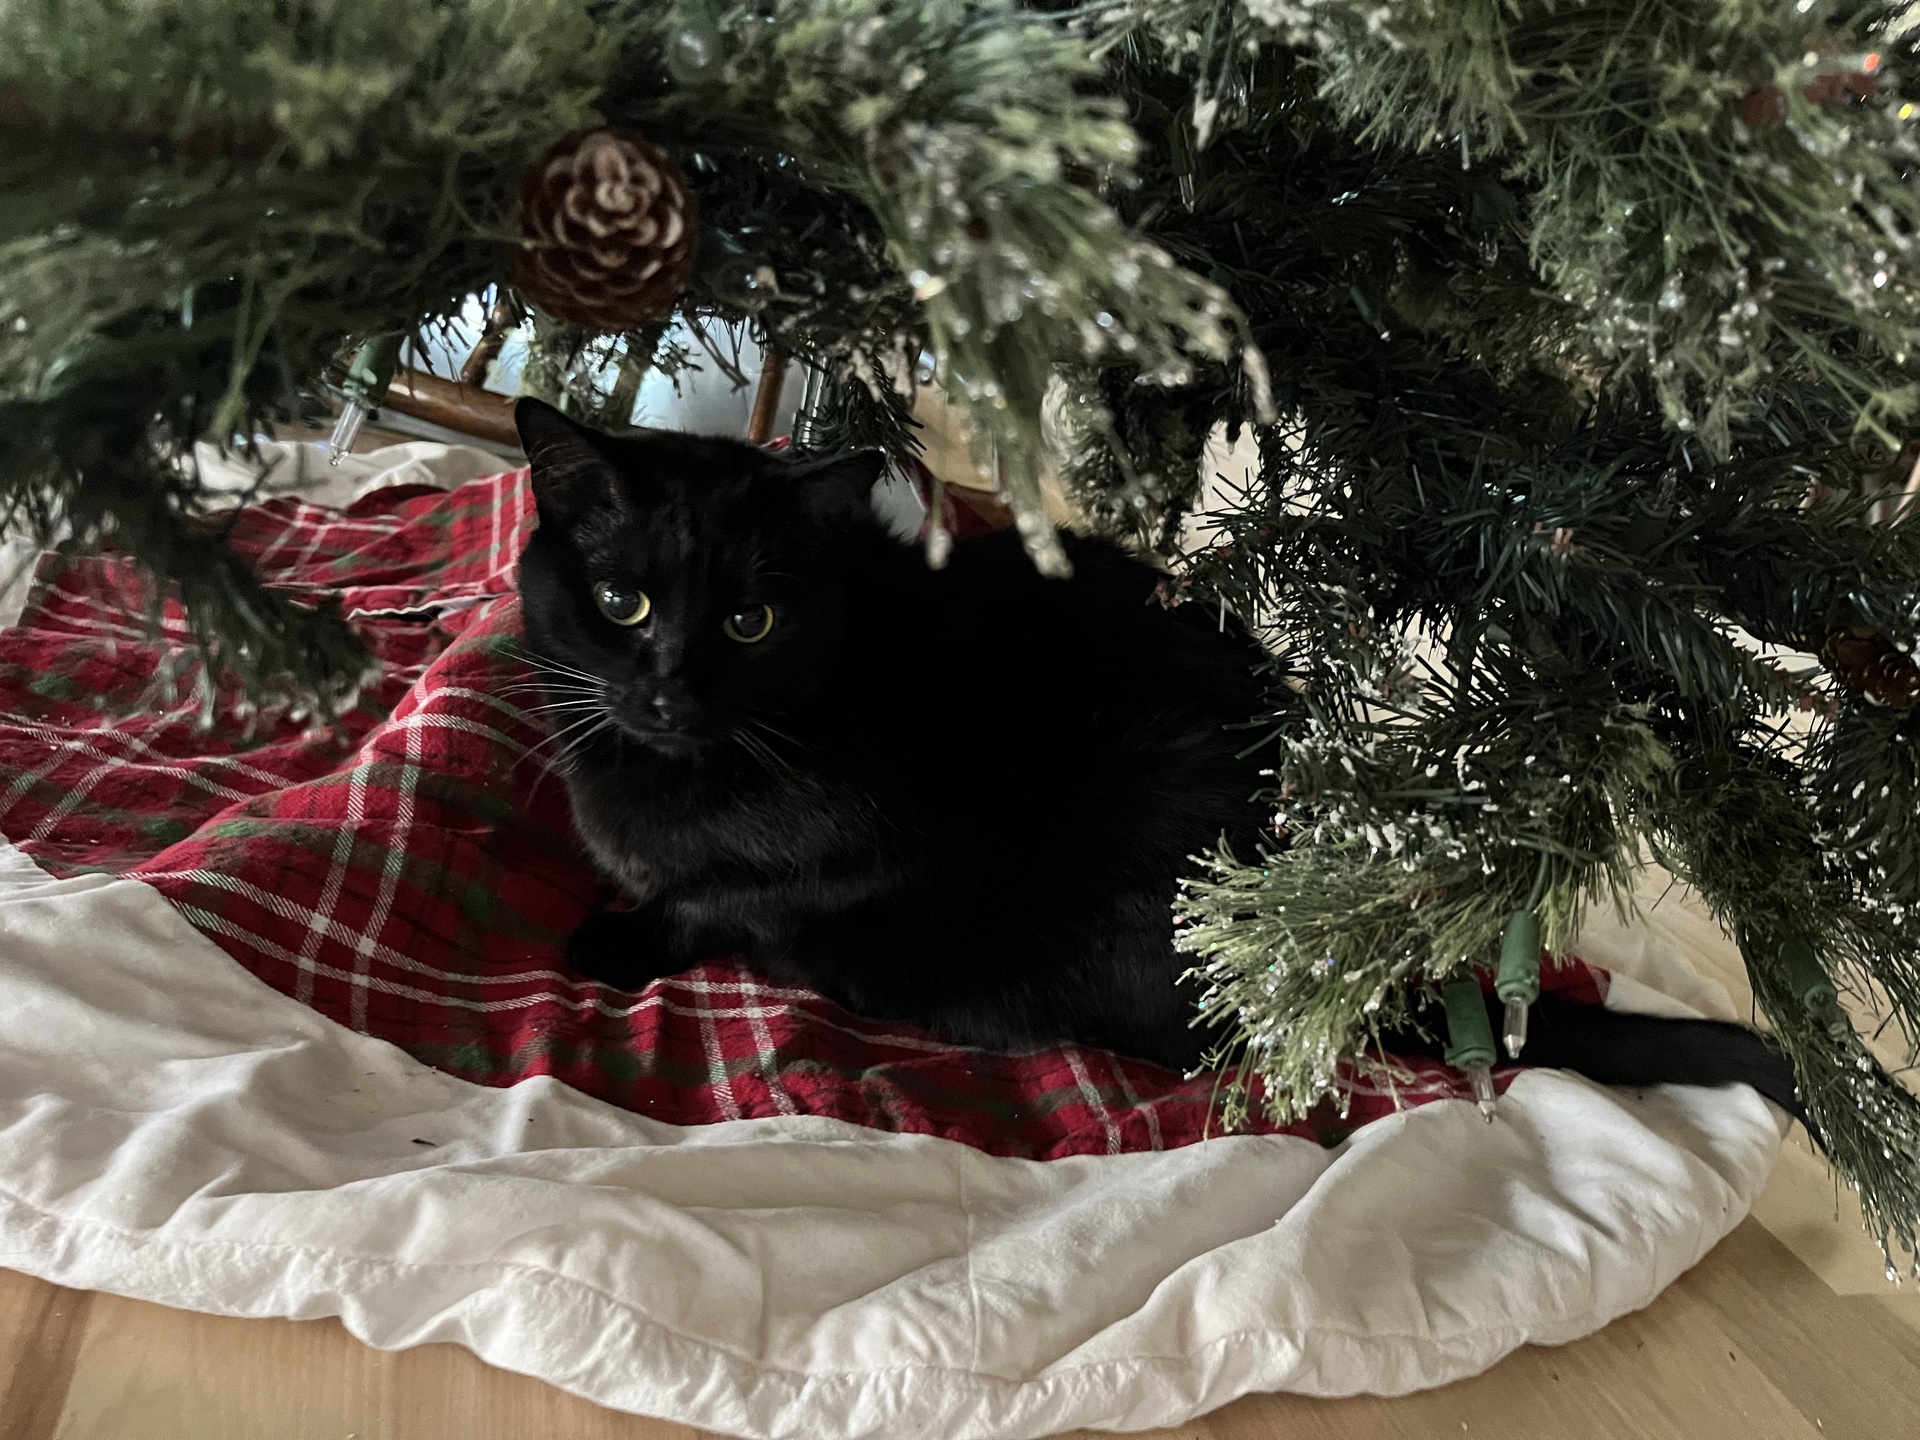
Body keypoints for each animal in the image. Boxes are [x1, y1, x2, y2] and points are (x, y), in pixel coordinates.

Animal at [510, 401, 1797, 1136]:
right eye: (621, 603)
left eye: (750, 625)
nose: (668, 691)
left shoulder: (868, 848)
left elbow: (715, 897)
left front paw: (620, 940)